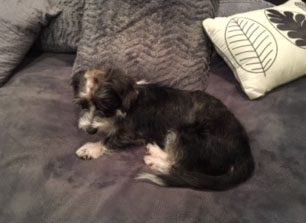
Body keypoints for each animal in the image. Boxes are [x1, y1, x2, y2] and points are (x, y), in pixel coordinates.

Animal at [71, 68, 253, 190]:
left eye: (104, 107)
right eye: (83, 104)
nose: (89, 130)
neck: (128, 100)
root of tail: (244, 153)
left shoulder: (130, 133)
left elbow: (108, 140)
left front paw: (90, 148)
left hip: (185, 134)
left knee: (178, 165)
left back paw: (154, 159)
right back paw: (155, 151)